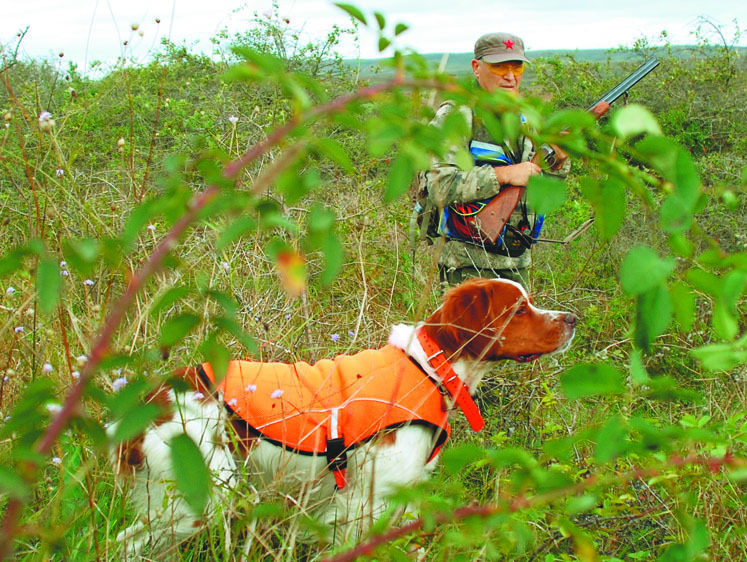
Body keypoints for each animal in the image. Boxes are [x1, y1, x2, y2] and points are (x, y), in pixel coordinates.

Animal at [109, 274, 580, 552]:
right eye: (519, 309)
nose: (572, 319)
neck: (429, 368)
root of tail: (146, 401)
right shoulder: (366, 502)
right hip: (203, 497)